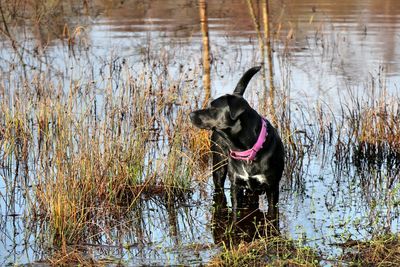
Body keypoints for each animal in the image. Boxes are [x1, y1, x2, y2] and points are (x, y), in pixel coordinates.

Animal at [190, 67, 284, 224]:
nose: (190, 114)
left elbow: (272, 214)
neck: (247, 150)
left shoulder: (272, 187)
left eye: (213, 108)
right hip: (218, 168)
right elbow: (236, 213)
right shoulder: (236, 185)